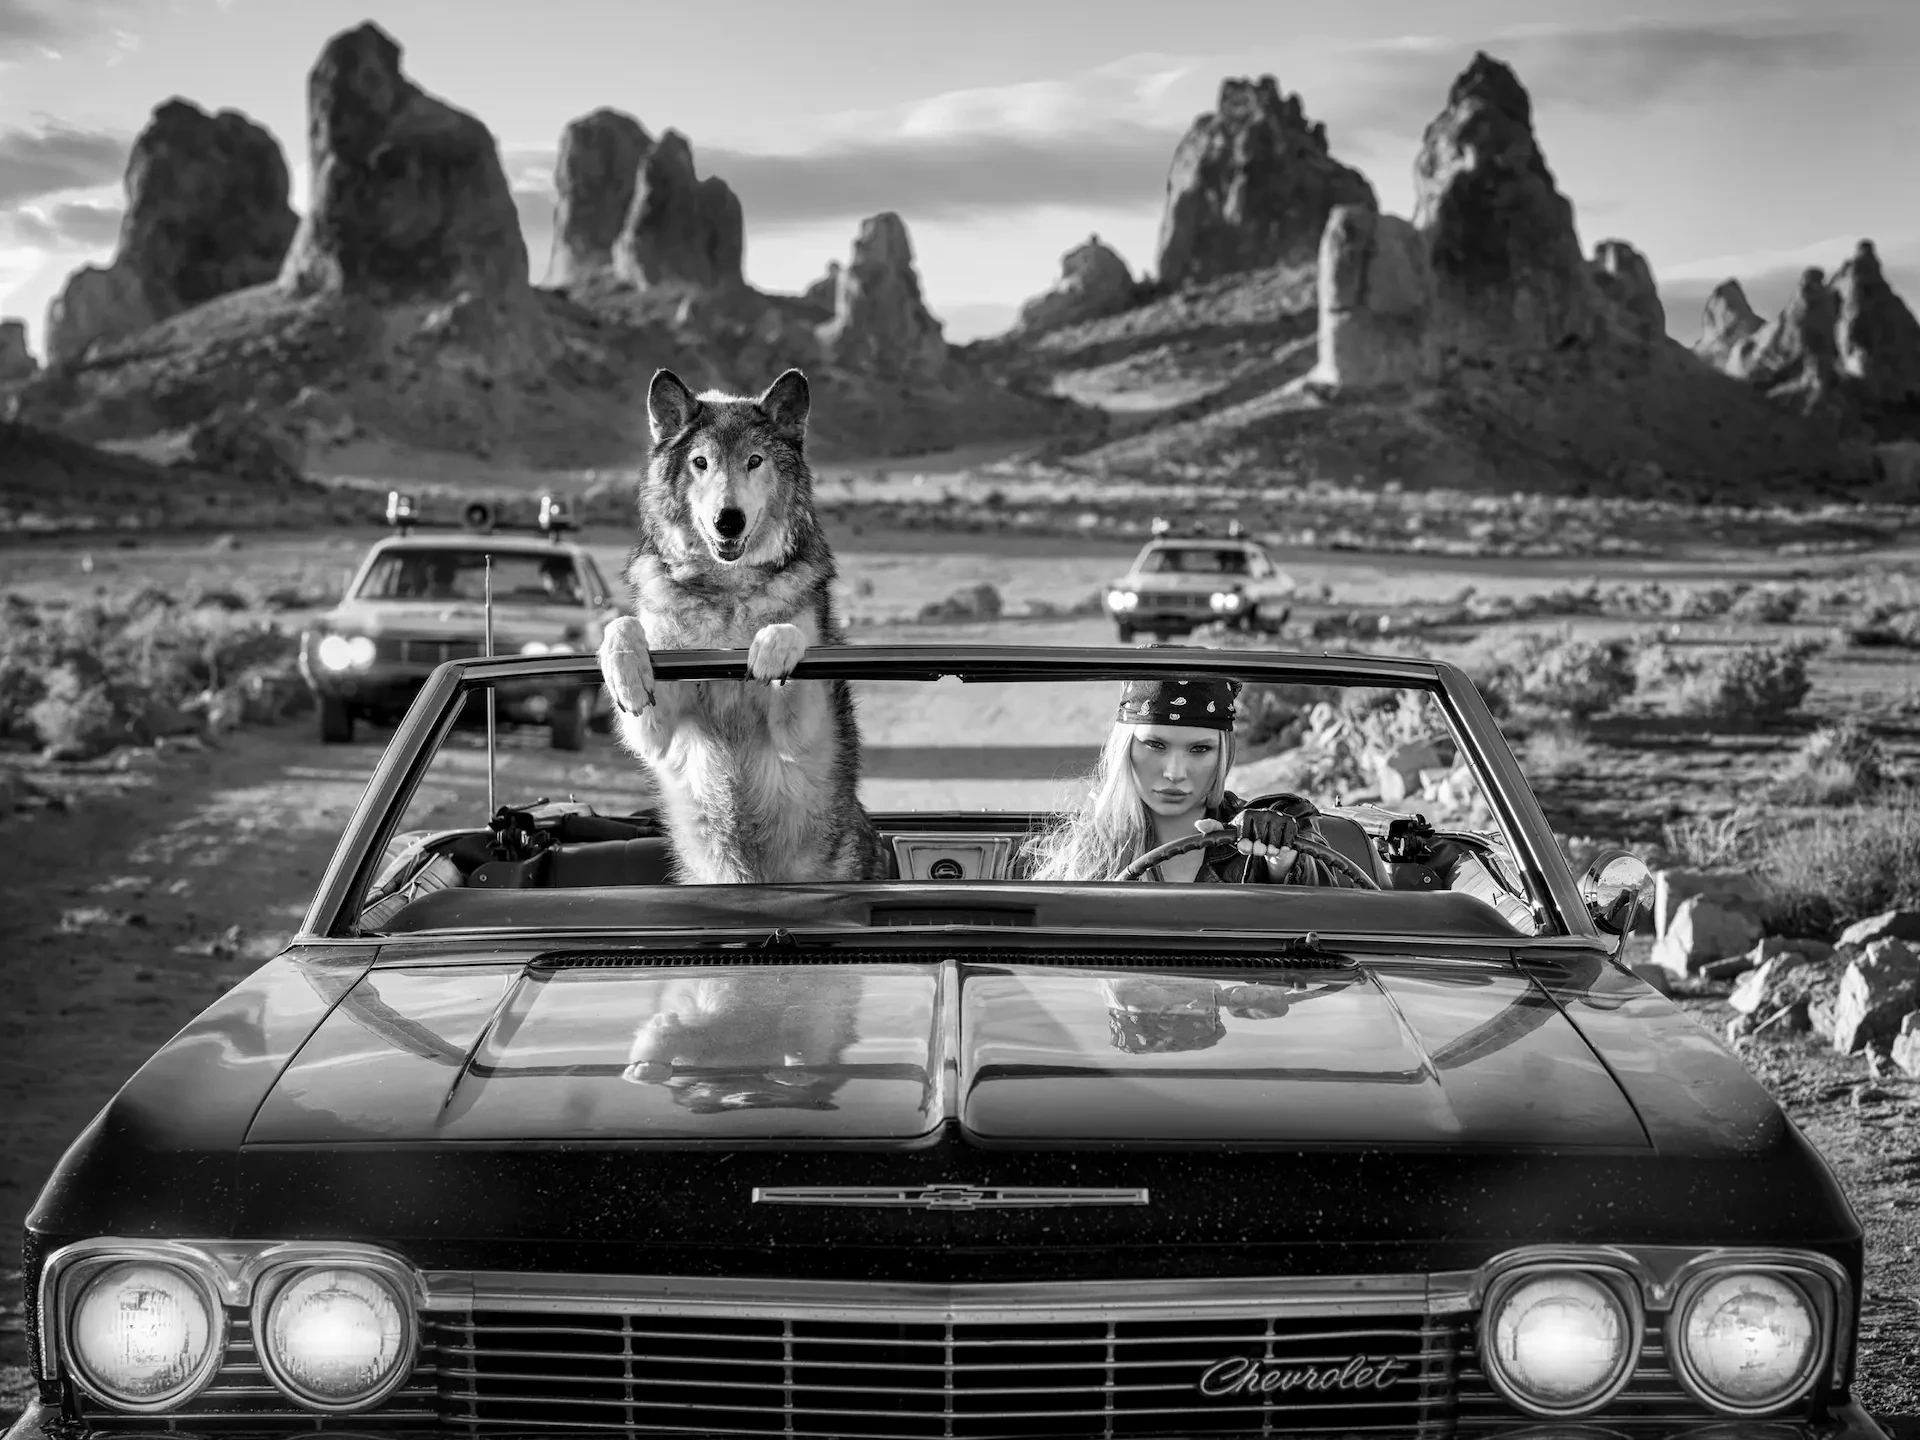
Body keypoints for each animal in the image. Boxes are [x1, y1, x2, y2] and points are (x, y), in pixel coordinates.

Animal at [596, 366, 891, 885]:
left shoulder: (802, 733)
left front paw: (771, 650)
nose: (727, 521)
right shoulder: (656, 734)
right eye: (701, 462)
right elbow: (623, 626)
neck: (727, 595)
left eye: (754, 461)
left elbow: (788, 630)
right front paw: (626, 672)